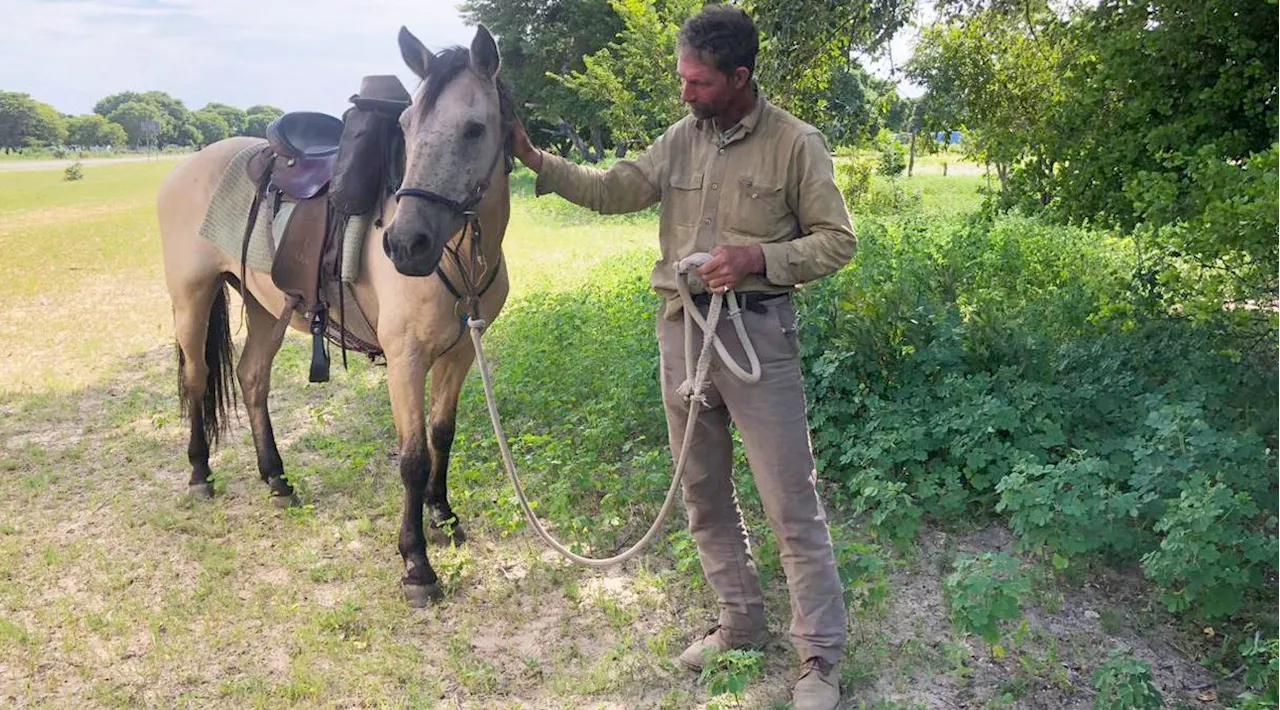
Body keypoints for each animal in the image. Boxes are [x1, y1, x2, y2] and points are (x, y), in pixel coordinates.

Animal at [158, 26, 514, 606]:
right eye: (406, 127)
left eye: (474, 128)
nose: (404, 244)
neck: (458, 256)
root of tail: (189, 165)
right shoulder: (406, 360)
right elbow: (412, 456)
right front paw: (416, 563)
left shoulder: (461, 352)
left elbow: (442, 434)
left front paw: (443, 514)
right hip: (192, 297)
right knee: (196, 379)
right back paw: (200, 473)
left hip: (267, 308)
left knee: (251, 378)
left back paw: (276, 479)